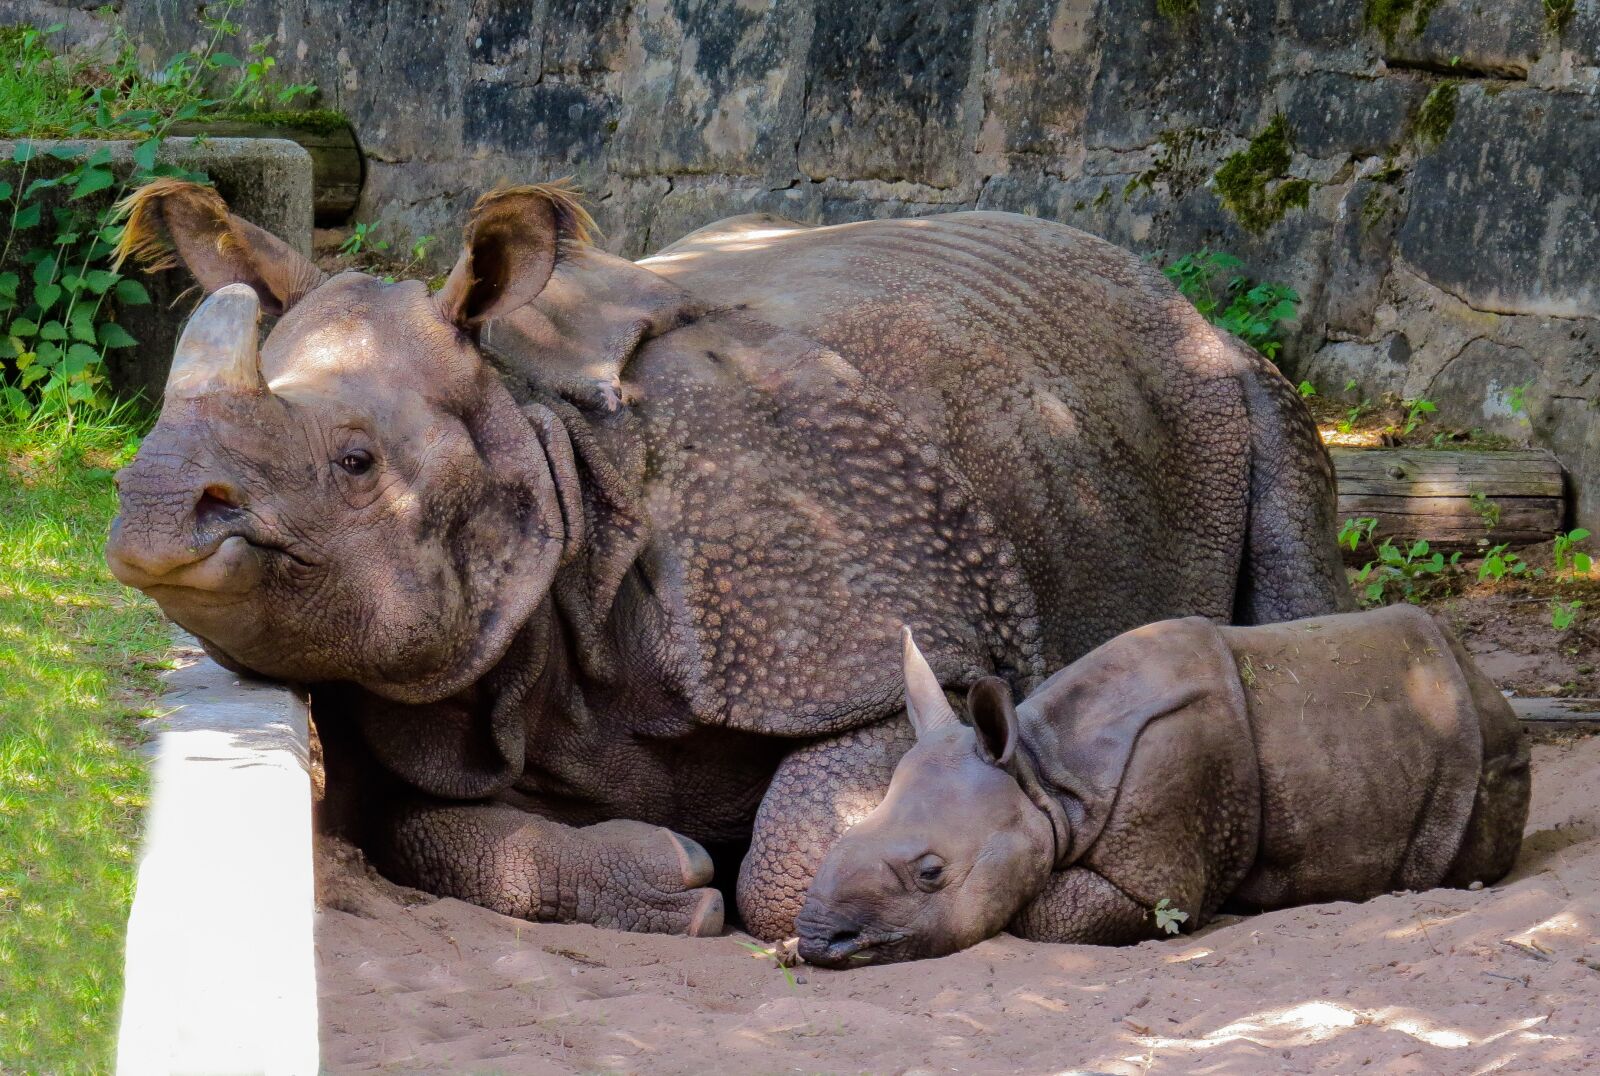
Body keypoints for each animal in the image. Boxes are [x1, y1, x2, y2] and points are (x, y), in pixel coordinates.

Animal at [104, 179, 1351, 939]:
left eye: (357, 462)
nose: (152, 510)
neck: (544, 444)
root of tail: (1154, 283)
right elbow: (421, 830)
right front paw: (662, 883)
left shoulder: (884, 636)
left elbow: (790, 867)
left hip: (1225, 377)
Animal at [797, 607, 1531, 967]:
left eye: (931, 873)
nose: (816, 942)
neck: (1042, 775)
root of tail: (1480, 674)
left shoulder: (1163, 842)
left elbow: (1048, 912)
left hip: (1476, 747)